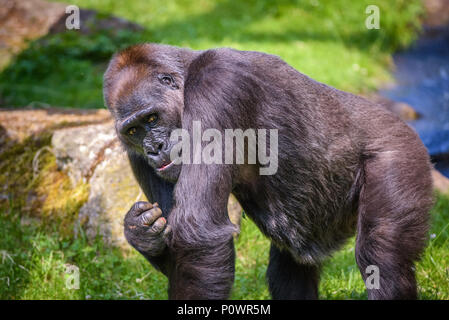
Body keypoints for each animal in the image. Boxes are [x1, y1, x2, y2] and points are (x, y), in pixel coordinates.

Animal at [103, 43, 432, 300]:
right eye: (134, 130)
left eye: (152, 118)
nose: (154, 148)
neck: (187, 74)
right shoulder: (132, 152)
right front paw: (141, 233)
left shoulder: (218, 83)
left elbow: (199, 229)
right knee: (288, 270)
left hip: (402, 152)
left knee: (382, 257)